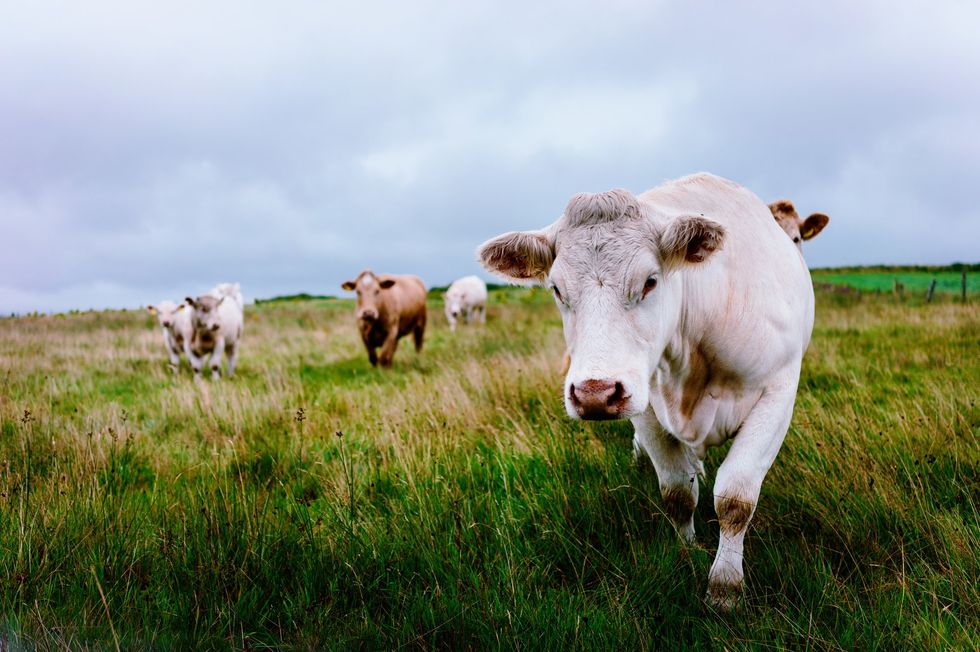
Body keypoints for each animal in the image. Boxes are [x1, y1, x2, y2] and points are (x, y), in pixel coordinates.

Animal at [478, 173, 814, 610]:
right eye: (556, 289)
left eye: (650, 281)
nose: (594, 393)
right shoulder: (646, 409)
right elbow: (677, 492)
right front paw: (686, 552)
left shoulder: (778, 391)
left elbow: (735, 498)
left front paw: (725, 586)